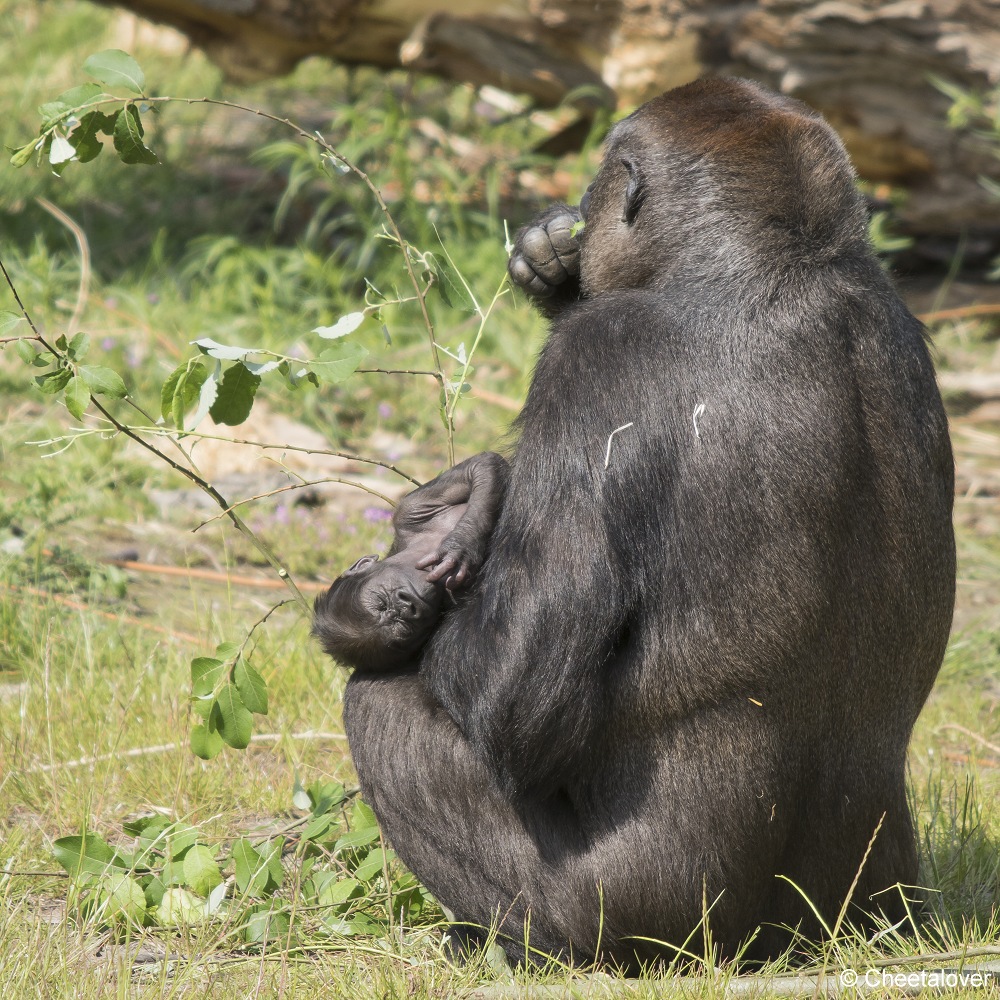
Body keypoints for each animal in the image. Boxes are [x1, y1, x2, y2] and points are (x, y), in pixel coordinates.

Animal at [312, 454, 508, 672]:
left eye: (382, 603)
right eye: (402, 627)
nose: (407, 606)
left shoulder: (407, 512)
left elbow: (481, 466)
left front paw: (461, 544)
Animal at [340, 78, 956, 968]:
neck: (782, 265)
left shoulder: (593, 361)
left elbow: (511, 699)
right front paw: (551, 265)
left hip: (639, 929)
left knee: (380, 703)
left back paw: (509, 945)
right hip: (878, 913)